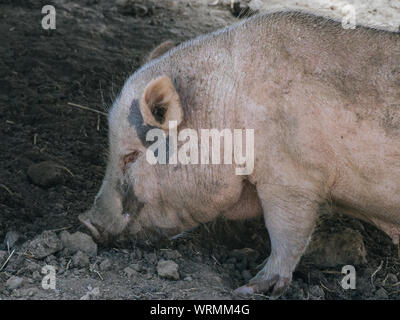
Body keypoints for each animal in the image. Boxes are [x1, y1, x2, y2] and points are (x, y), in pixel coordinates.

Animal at [79, 10, 400, 298]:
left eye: (131, 156)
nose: (86, 222)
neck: (224, 108)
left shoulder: (293, 178)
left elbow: (288, 233)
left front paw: (249, 288)